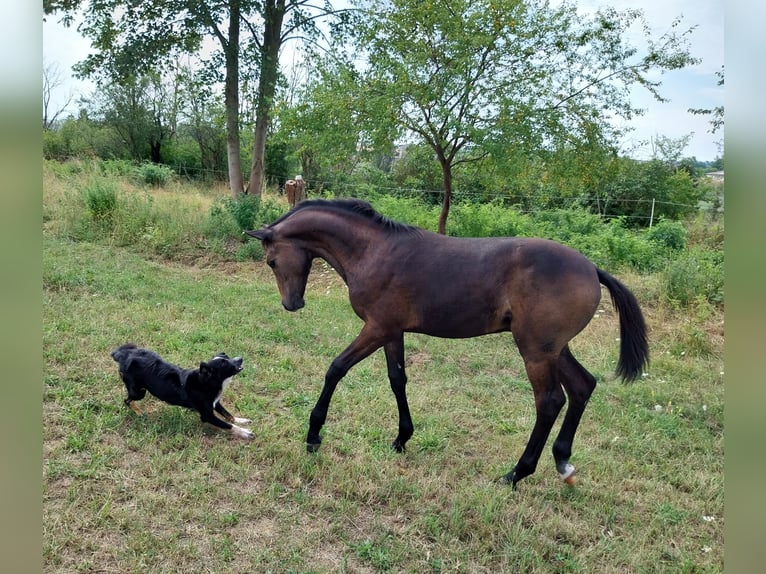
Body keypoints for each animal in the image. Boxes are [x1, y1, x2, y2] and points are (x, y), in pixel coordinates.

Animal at [245, 198, 648, 488]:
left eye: (270, 261)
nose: (292, 304)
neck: (374, 251)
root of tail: (592, 269)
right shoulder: (392, 332)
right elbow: (397, 380)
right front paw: (401, 439)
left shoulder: (376, 328)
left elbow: (336, 368)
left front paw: (314, 434)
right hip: (554, 349)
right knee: (582, 386)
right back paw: (562, 461)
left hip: (536, 350)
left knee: (549, 401)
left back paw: (516, 473)